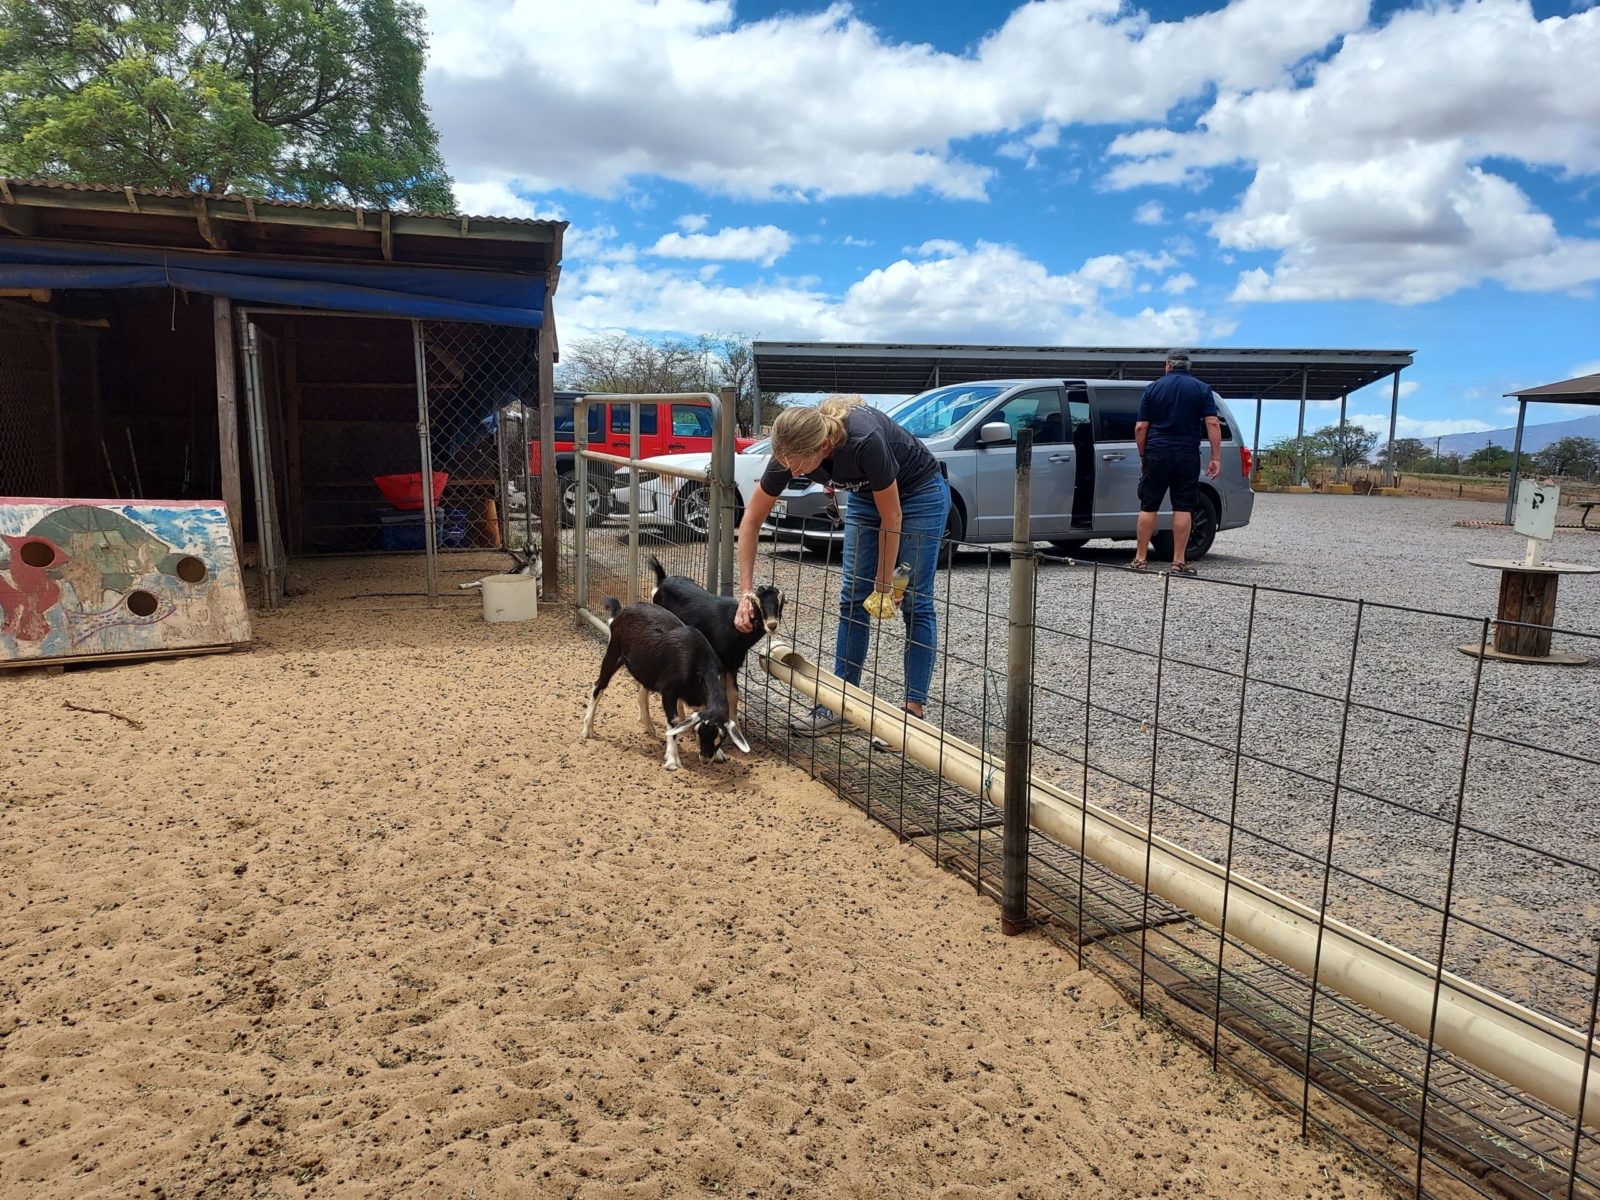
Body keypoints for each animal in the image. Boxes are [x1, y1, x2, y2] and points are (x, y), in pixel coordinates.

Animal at [576, 598, 748, 774]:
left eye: (721, 736)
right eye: (698, 732)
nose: (705, 759)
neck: (699, 666)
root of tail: (622, 610)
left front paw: (719, 754)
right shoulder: (669, 691)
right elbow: (674, 721)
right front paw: (672, 759)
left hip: (646, 666)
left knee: (641, 691)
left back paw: (648, 725)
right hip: (614, 653)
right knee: (598, 686)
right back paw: (588, 729)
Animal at [643, 556, 780, 752]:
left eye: (779, 603)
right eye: (757, 604)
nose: (772, 625)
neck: (732, 625)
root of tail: (662, 580)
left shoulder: (732, 665)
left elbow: (733, 694)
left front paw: (736, 733)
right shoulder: (718, 664)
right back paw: (650, 726)